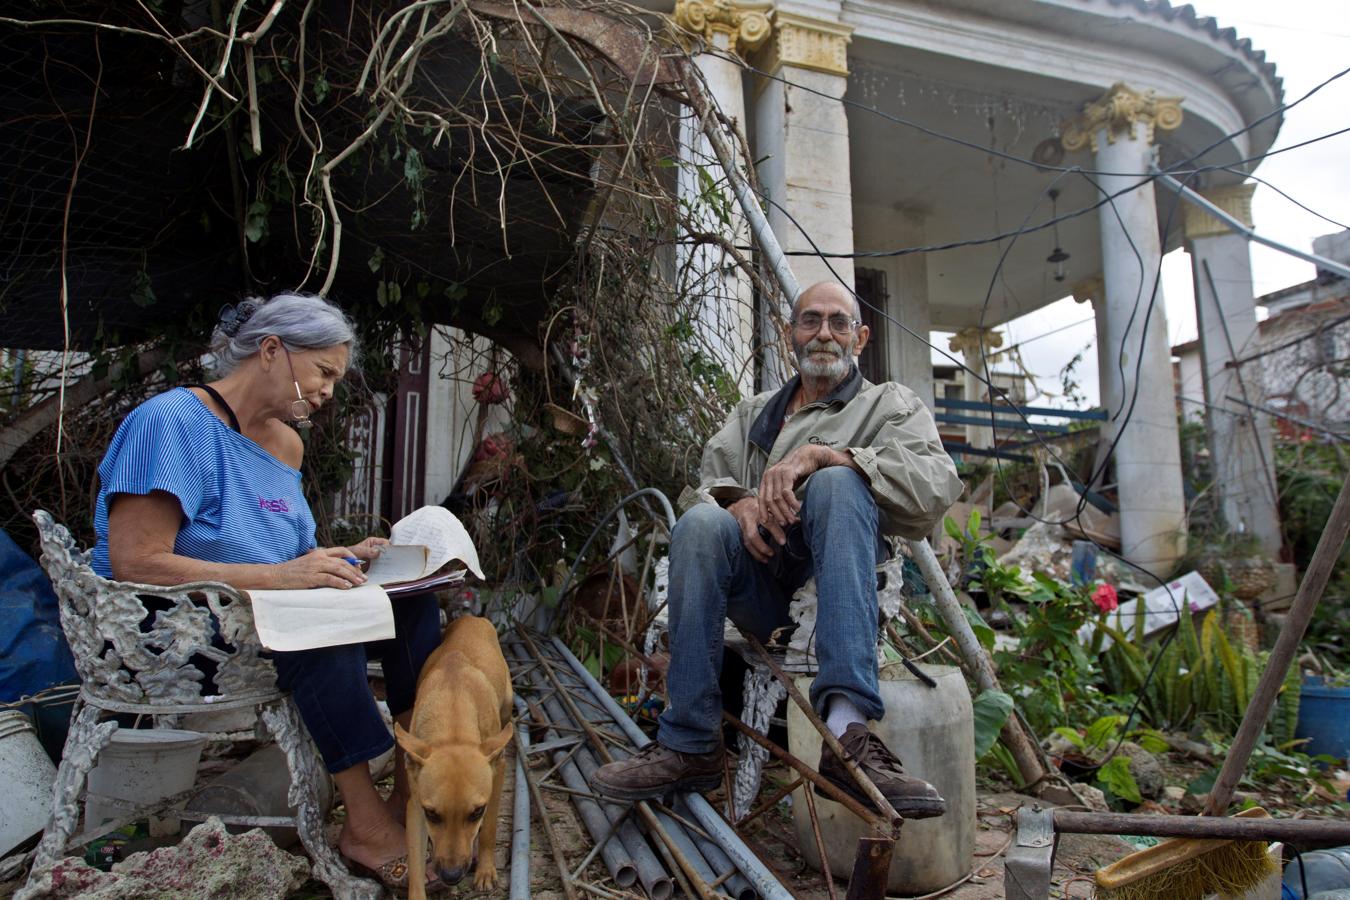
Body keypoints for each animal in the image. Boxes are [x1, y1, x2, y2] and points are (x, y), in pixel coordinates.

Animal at [396, 615, 513, 895]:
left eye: (476, 813)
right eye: (432, 815)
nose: (451, 876)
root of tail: (472, 617)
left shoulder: (497, 775)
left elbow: (489, 829)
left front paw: (485, 870)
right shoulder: (415, 807)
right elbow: (416, 868)